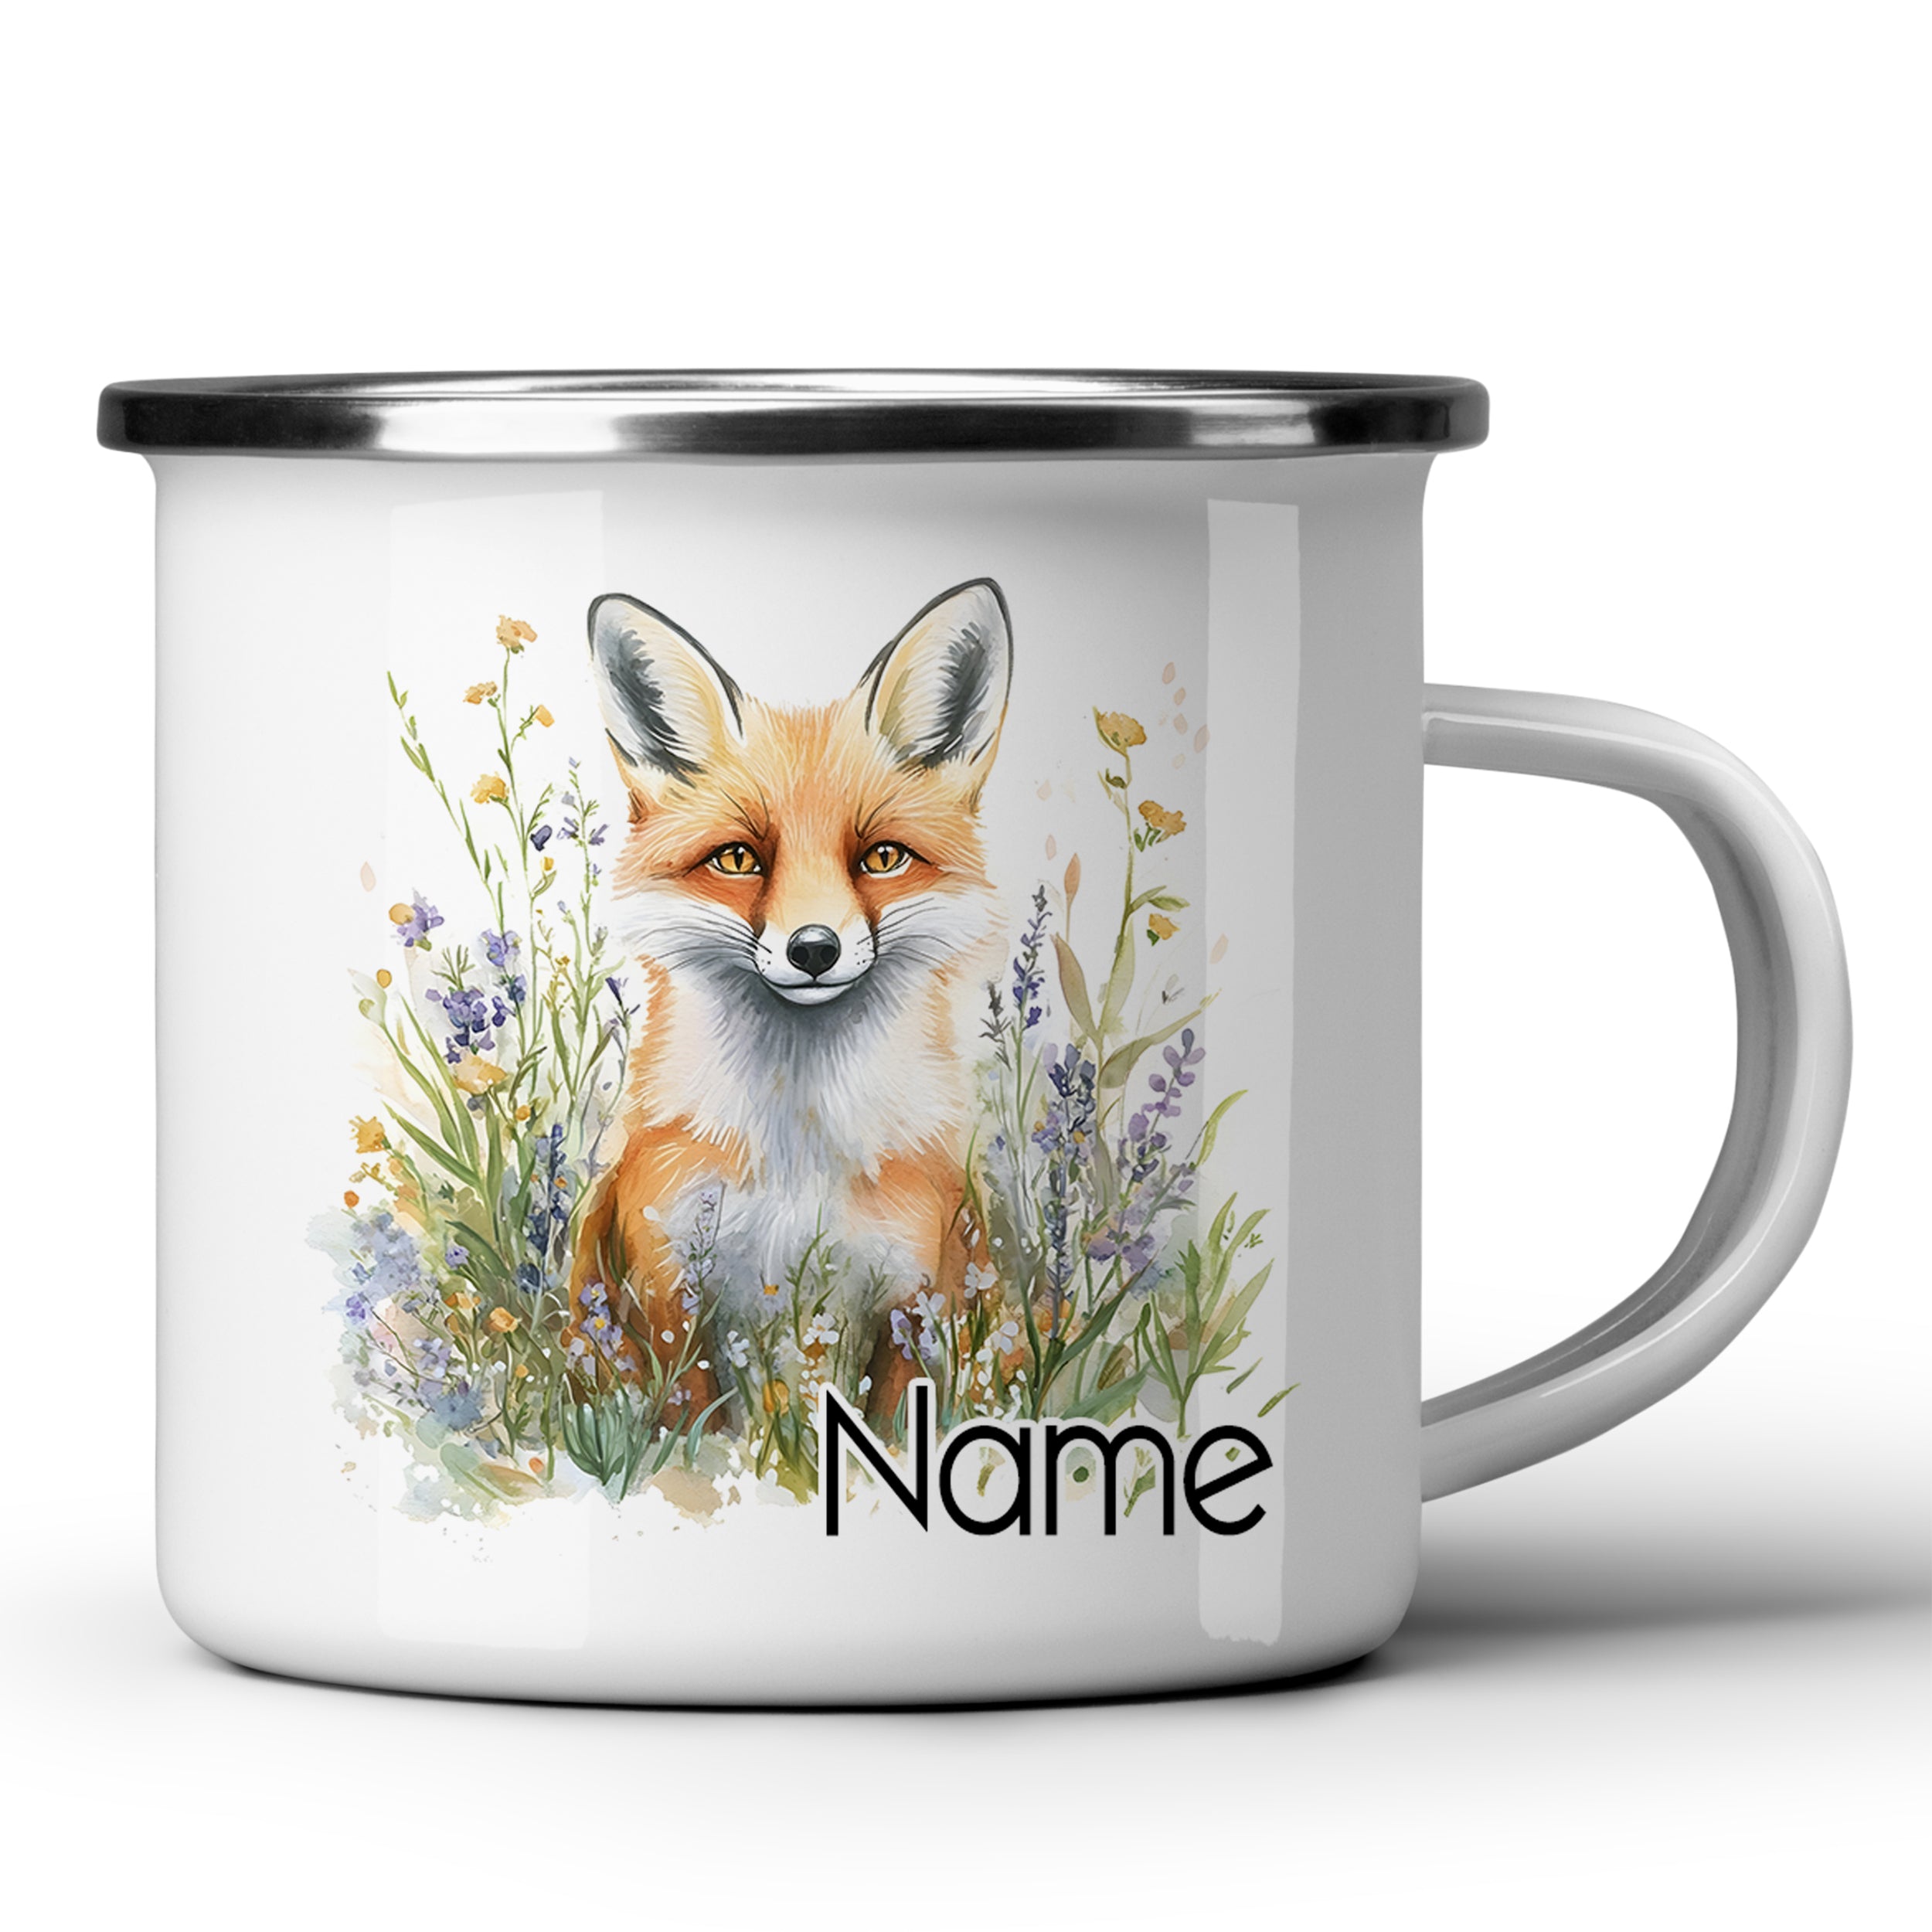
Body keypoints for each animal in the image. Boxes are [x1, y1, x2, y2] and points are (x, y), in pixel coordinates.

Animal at [569, 578, 1013, 1425]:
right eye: (739, 859)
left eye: (882, 857)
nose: (813, 950)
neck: (796, 1157)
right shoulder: (671, 1300)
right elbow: (696, 1432)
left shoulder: (915, 1302)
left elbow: (892, 1425)